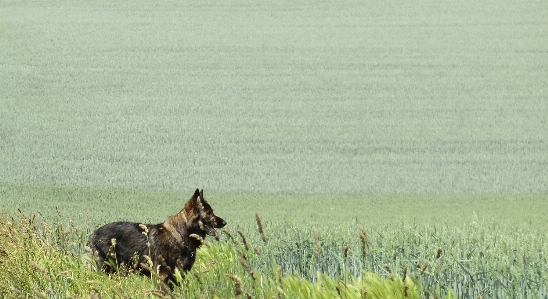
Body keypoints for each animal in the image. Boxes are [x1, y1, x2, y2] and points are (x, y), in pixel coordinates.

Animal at [85, 189, 225, 290]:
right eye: (209, 213)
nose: (225, 222)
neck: (180, 236)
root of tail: (92, 235)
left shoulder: (178, 275)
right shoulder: (163, 275)